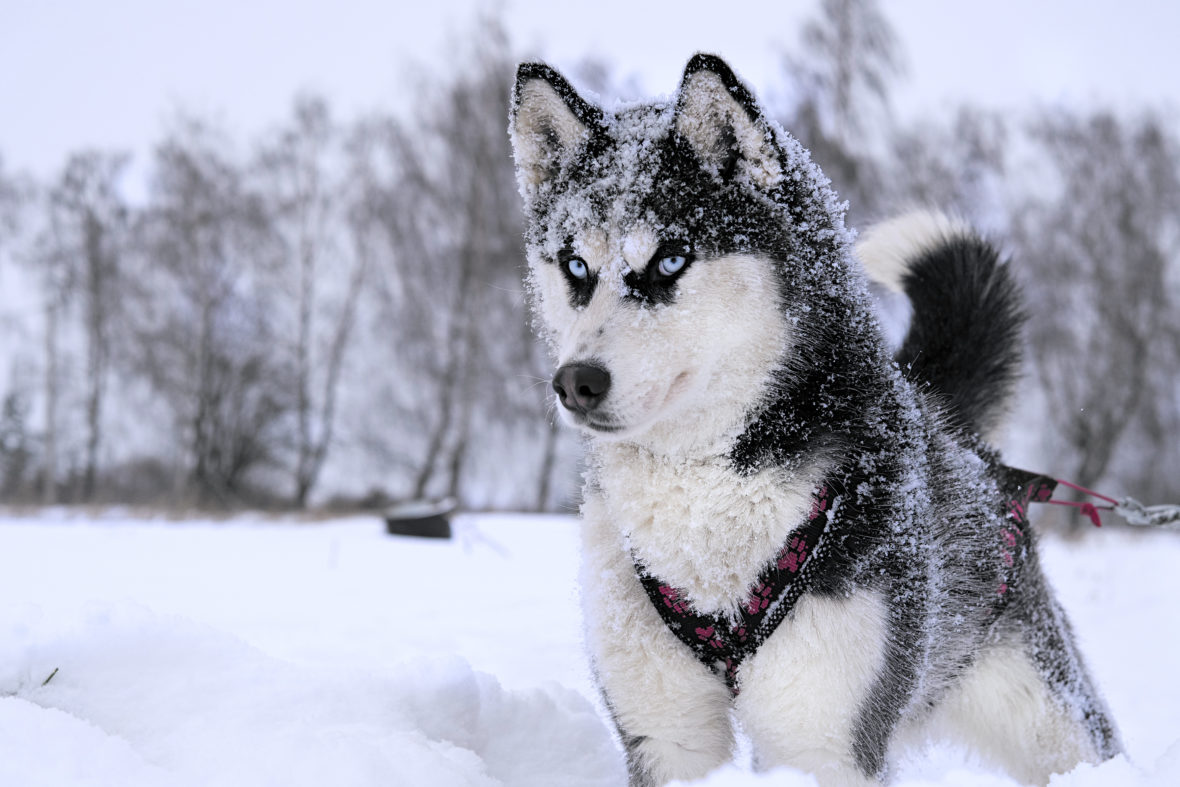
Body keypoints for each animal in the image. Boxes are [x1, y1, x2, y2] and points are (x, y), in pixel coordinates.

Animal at [505, 52, 1113, 783]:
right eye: (575, 265)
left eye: (670, 258)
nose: (577, 383)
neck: (704, 495)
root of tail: (954, 428)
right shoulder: (667, 735)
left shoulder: (824, 740)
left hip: (1049, 716)